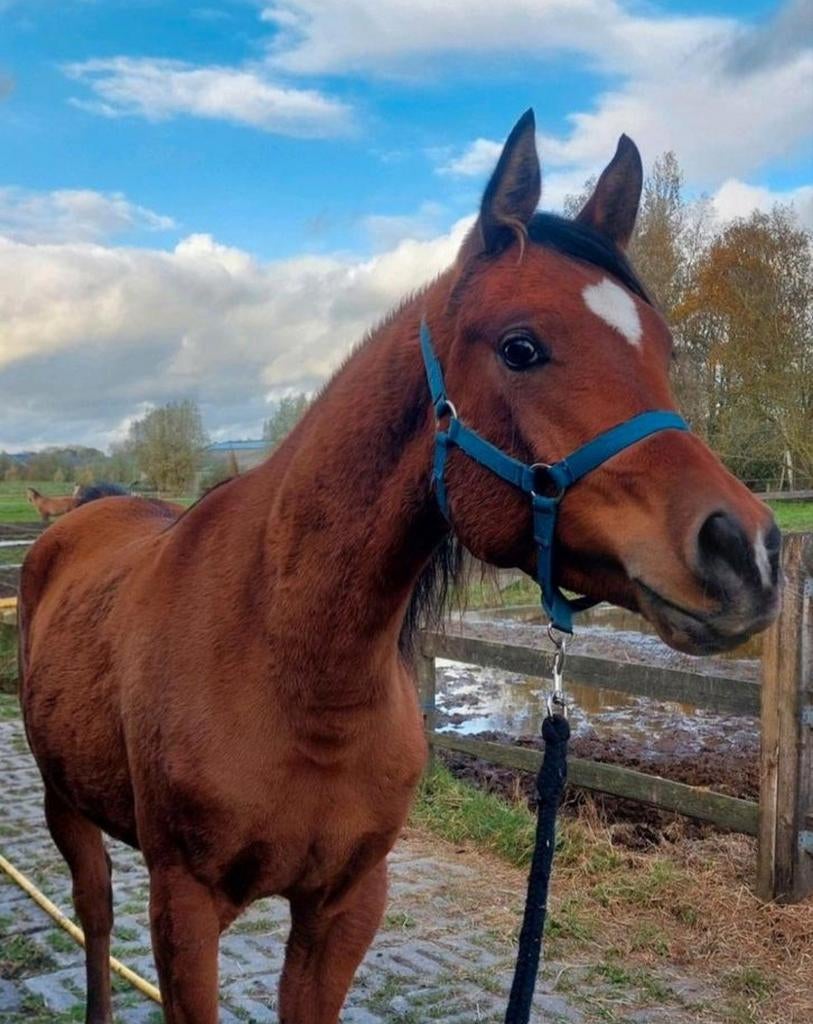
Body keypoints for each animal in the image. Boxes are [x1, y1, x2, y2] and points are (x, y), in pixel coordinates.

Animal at [18, 110, 780, 1024]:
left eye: (663, 348)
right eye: (520, 347)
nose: (747, 551)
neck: (294, 669)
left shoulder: (345, 906)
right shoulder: (185, 910)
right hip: (66, 804)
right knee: (94, 914)